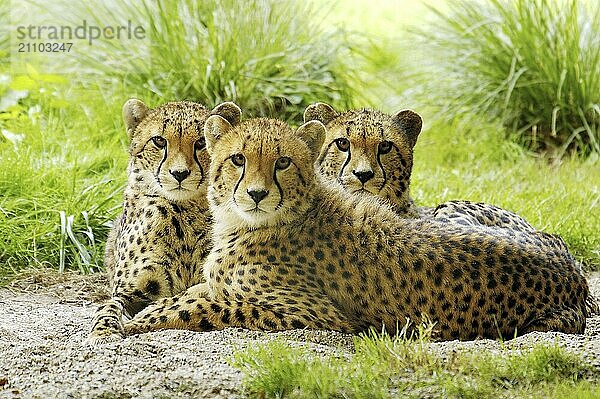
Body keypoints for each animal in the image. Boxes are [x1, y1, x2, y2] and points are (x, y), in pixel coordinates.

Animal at [87, 98, 241, 342]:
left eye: (201, 142)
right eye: (159, 141)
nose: (180, 173)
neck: (184, 213)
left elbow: (189, 300)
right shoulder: (129, 291)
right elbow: (107, 306)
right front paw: (104, 331)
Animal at [123, 115, 592, 340]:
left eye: (282, 162)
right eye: (238, 159)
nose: (256, 194)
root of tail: (574, 274)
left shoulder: (319, 316)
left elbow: (210, 305)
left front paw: (142, 319)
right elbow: (196, 292)